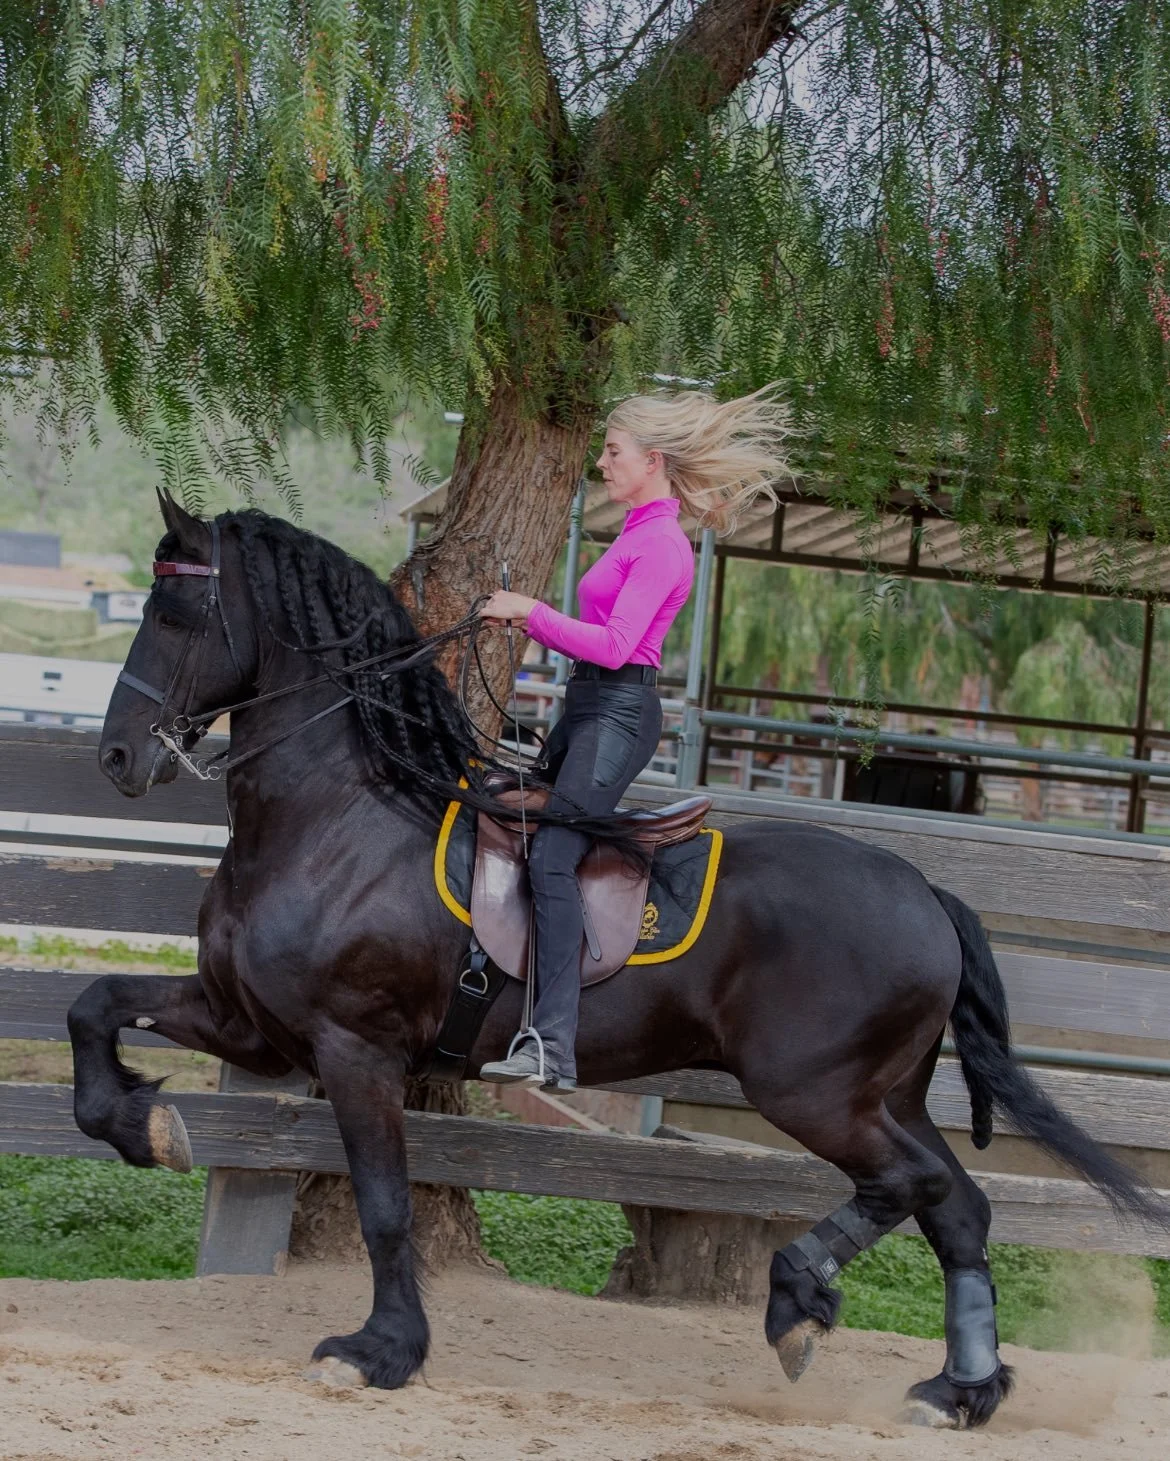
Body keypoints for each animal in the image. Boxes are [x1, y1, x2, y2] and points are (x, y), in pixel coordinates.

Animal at [72, 492, 1165, 1429]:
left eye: (173, 610)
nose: (118, 758)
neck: (336, 821)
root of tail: (926, 893)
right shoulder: (251, 1022)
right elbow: (94, 1008)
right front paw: (147, 1127)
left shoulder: (354, 1049)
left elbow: (386, 1208)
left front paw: (381, 1351)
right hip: (880, 1092)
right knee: (960, 1208)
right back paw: (956, 1390)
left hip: (812, 1093)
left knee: (913, 1187)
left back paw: (798, 1304)